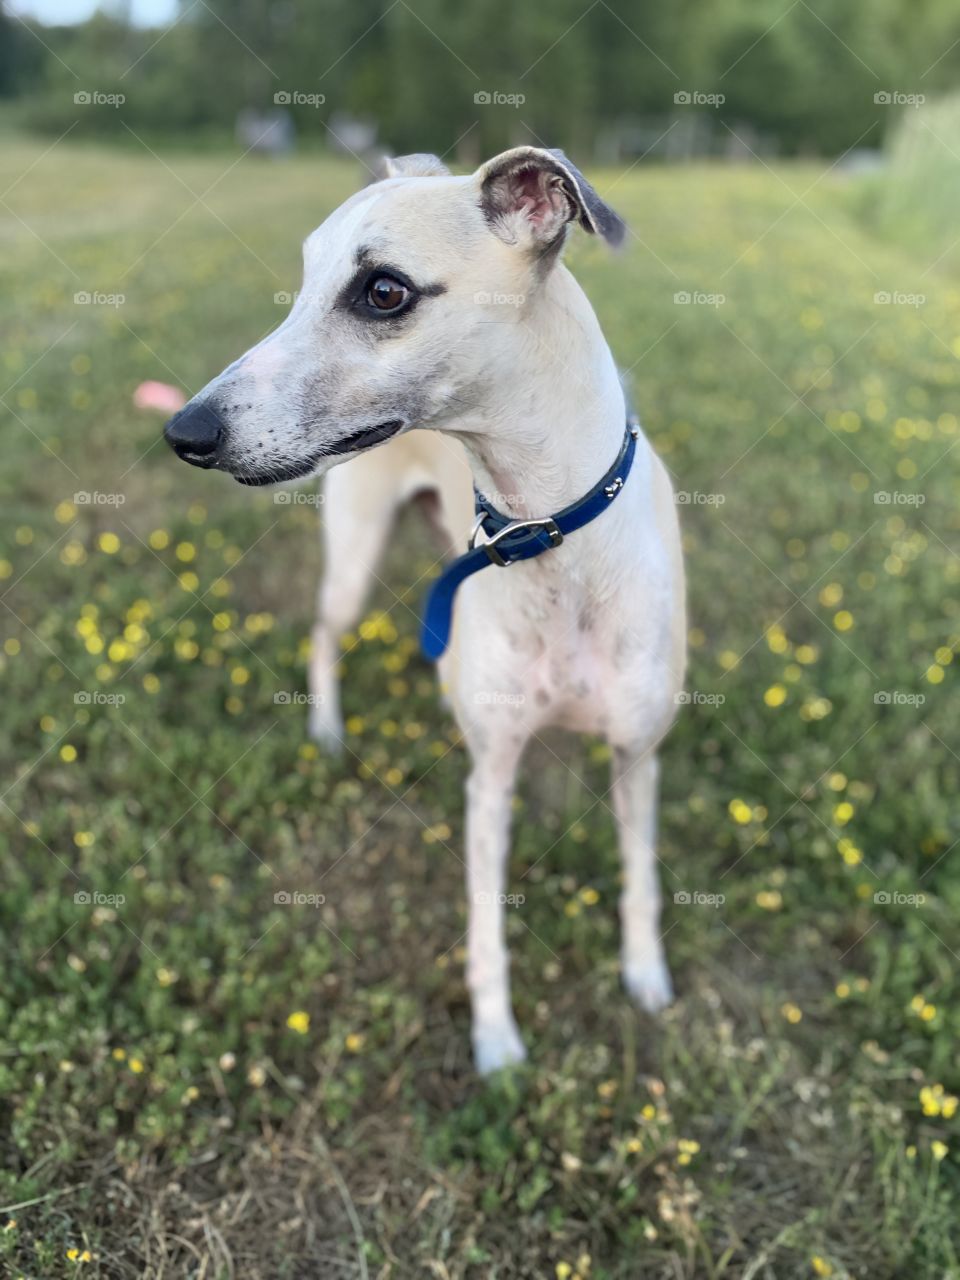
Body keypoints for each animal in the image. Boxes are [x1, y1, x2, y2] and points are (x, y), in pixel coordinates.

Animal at [167, 147, 691, 1070]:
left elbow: (641, 878)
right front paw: (497, 1042)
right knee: (322, 637)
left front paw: (645, 978)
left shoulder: (637, 752)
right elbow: (486, 923)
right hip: (353, 559)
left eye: (384, 290)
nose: (184, 432)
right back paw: (327, 731)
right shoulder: (489, 780)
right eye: (304, 276)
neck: (548, 538)